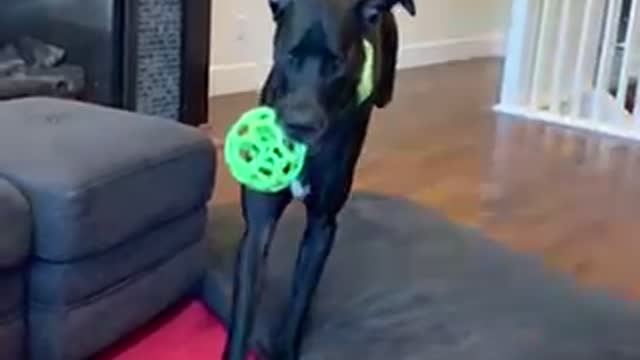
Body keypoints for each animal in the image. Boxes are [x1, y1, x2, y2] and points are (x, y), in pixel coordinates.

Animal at [222, 0, 418, 358]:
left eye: (336, 64)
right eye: (290, 56)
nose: (301, 125)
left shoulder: (322, 226)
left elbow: (300, 298)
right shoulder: (258, 227)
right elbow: (244, 310)